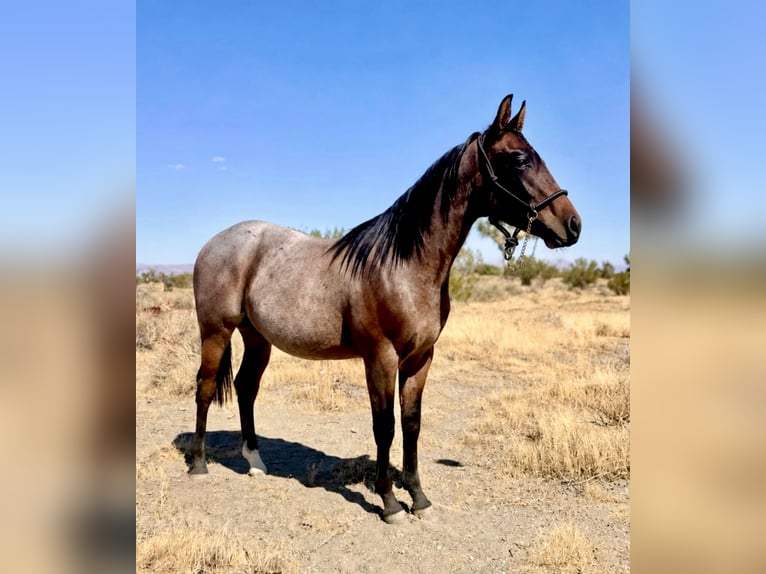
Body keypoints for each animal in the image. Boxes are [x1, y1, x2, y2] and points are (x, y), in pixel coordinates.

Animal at [189, 94, 581, 523]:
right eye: (519, 159)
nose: (572, 225)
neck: (404, 264)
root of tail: (213, 243)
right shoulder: (381, 358)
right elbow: (384, 426)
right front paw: (390, 502)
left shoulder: (421, 358)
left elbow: (411, 424)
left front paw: (419, 498)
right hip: (216, 332)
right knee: (205, 387)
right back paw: (199, 464)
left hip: (258, 338)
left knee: (246, 388)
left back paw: (256, 463)